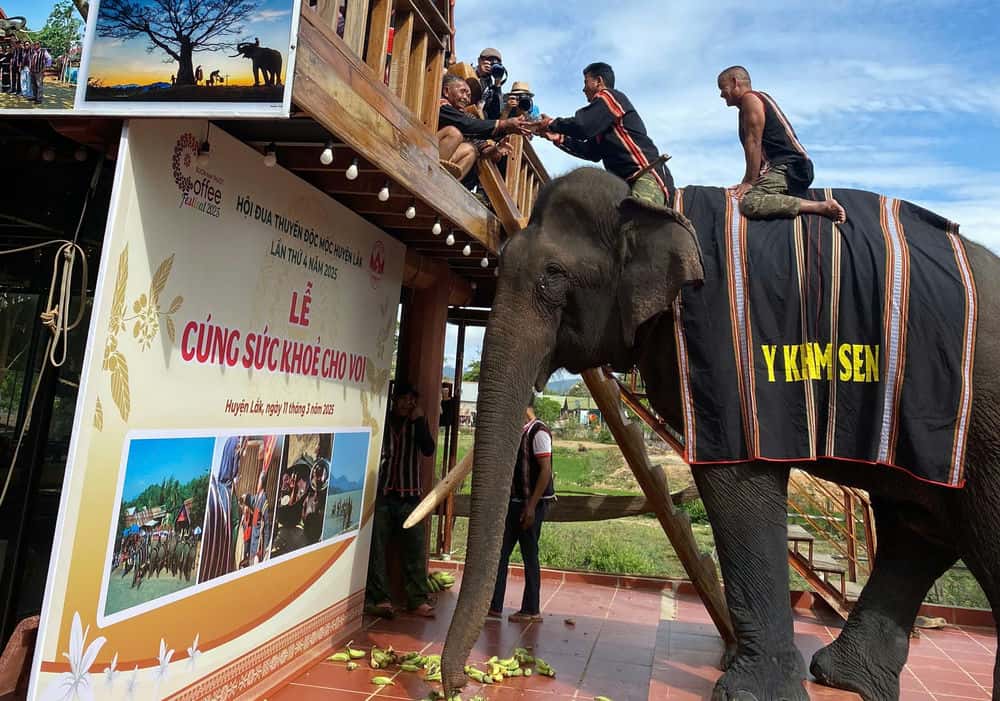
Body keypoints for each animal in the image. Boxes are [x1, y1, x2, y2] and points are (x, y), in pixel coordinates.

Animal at [440, 167, 1000, 701]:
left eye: (552, 278)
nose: (459, 683)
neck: (651, 207)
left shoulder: (731, 361)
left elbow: (738, 484)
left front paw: (747, 693)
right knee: (919, 525)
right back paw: (846, 680)